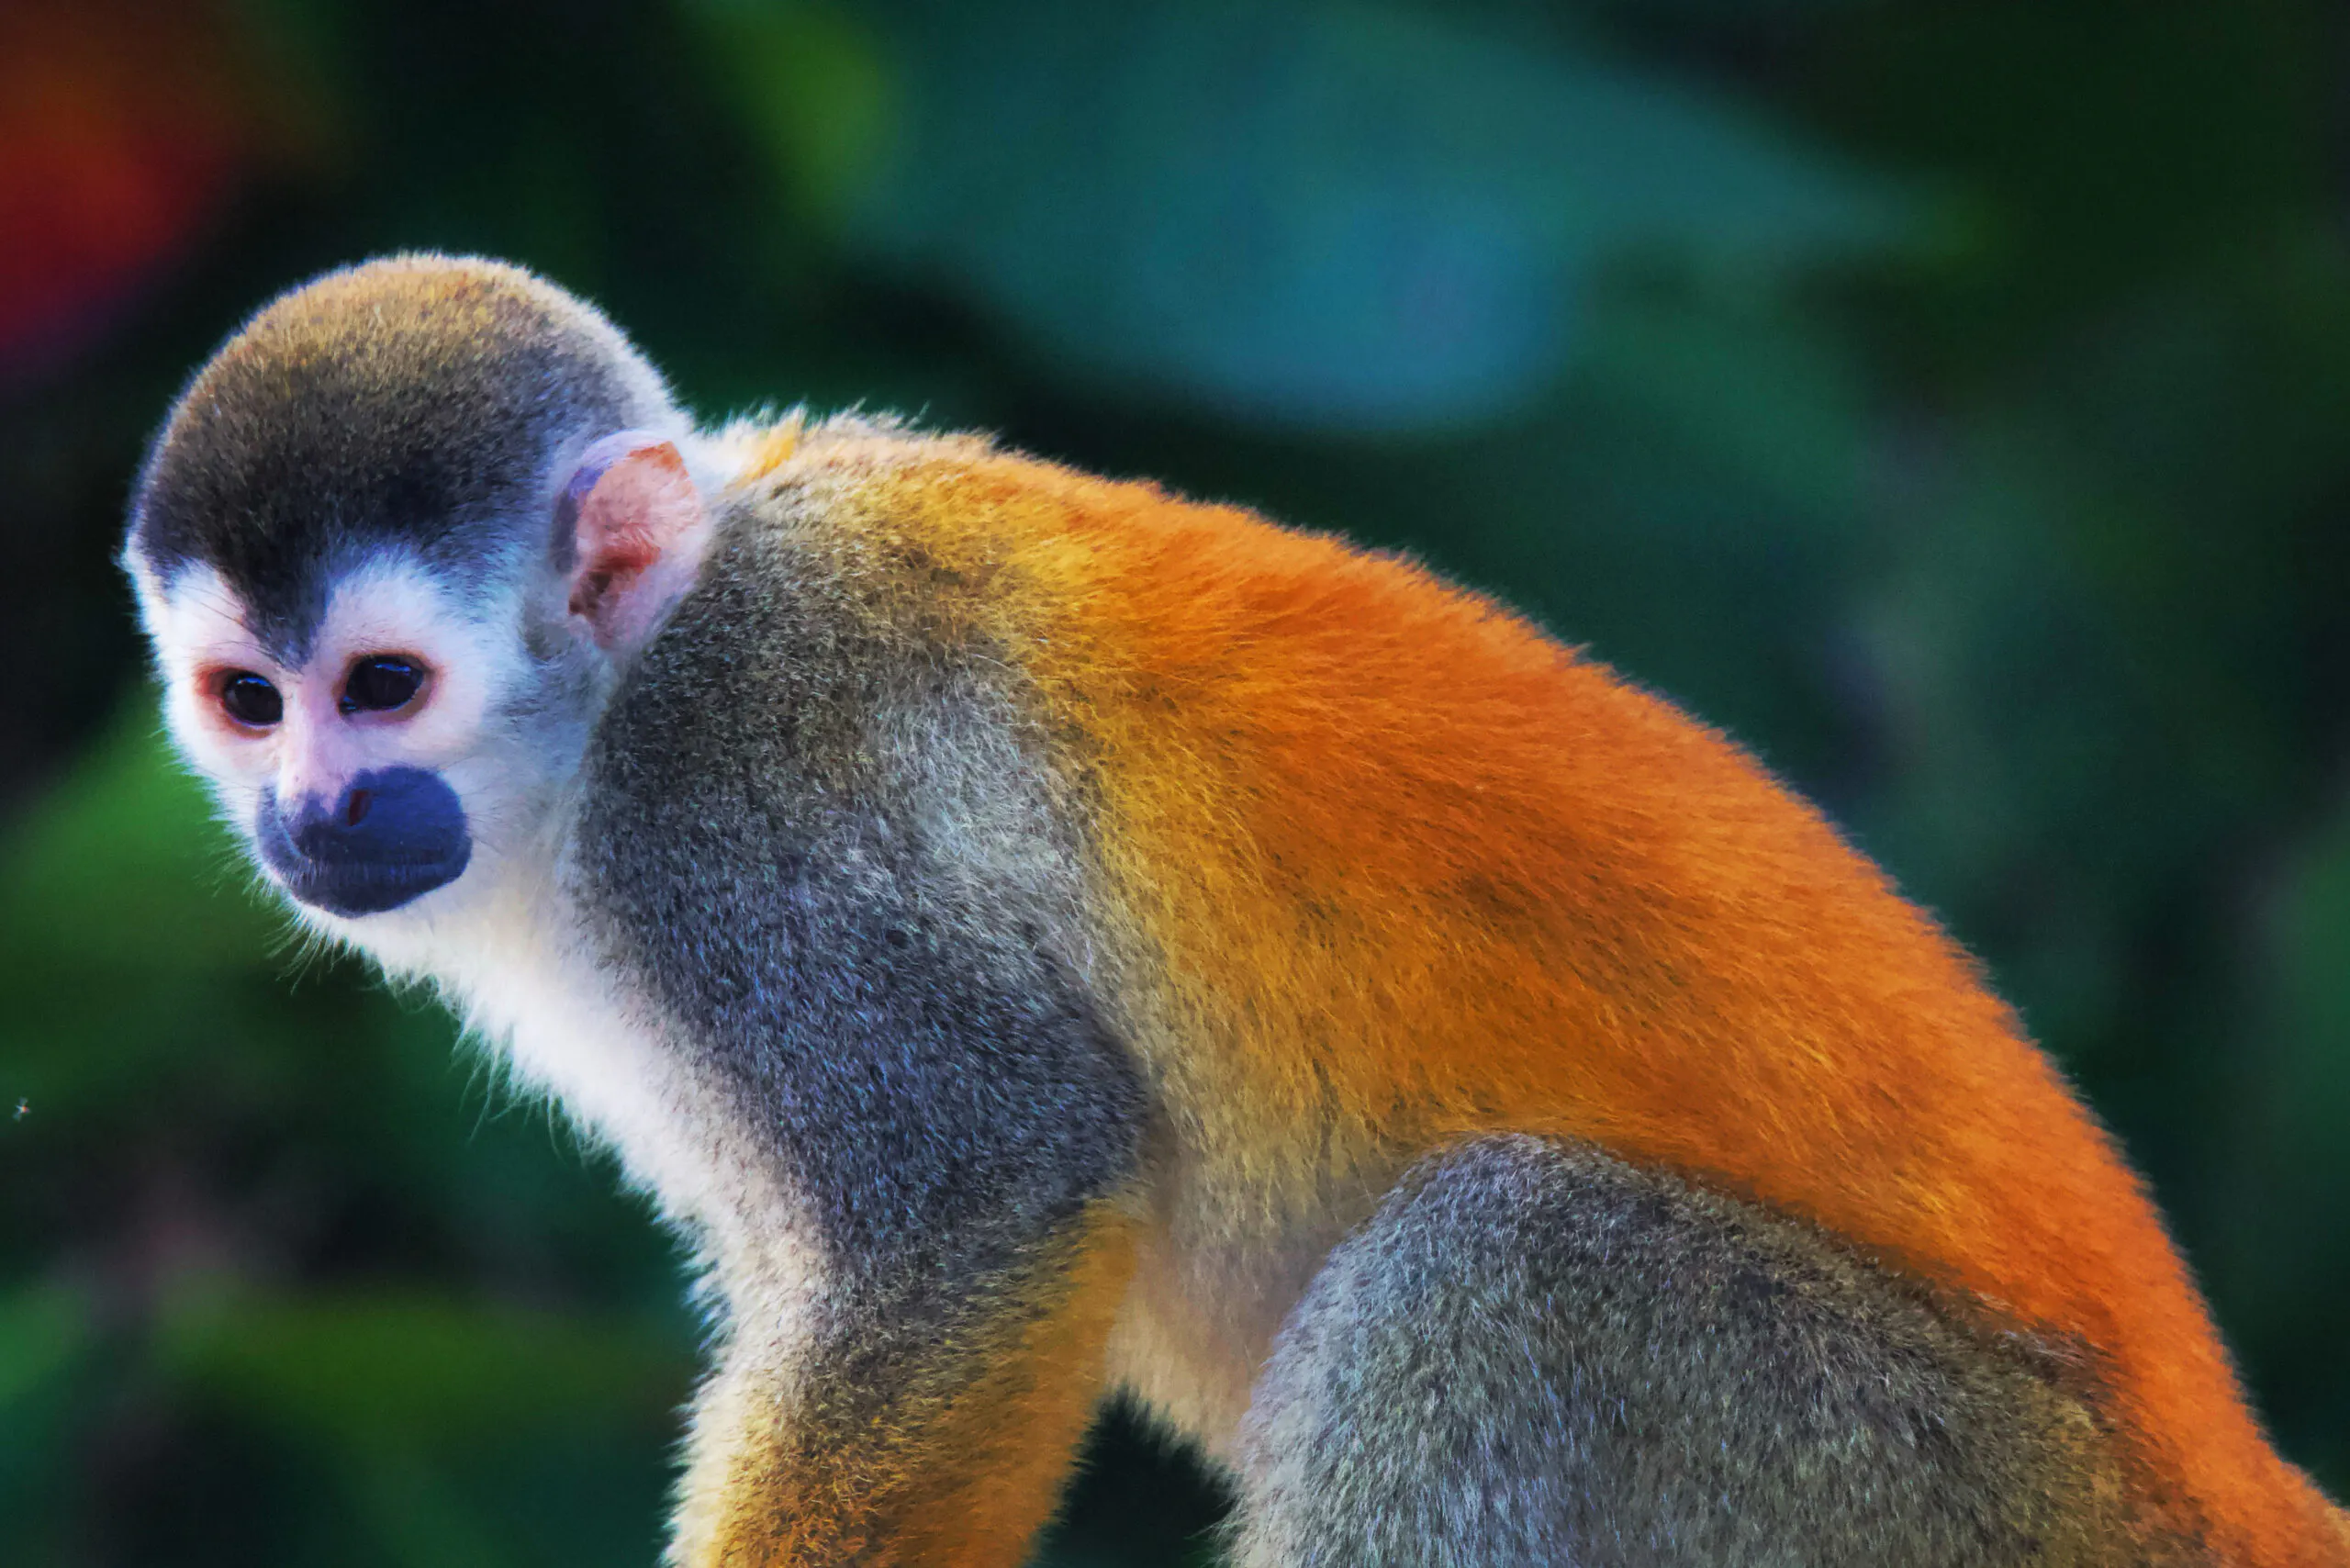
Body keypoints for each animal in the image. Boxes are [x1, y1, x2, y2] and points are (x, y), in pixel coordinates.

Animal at [120, 254, 2348, 1568]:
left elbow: (977, 1205)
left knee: (1494, 1264)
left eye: (382, 684)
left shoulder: (728, 824)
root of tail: (2224, 1477)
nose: (313, 812)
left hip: (1929, 1494)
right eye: (248, 700)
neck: (621, 696)